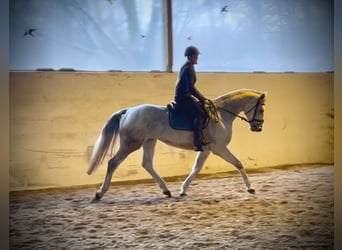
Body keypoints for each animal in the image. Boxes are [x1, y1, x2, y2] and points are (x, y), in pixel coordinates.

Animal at [87, 89, 266, 200]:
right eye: (261, 110)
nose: (257, 128)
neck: (221, 115)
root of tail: (129, 111)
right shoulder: (219, 148)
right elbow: (238, 163)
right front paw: (250, 188)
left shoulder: (207, 149)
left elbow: (196, 169)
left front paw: (183, 190)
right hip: (131, 144)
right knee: (113, 162)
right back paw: (100, 193)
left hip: (149, 141)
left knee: (147, 164)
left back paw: (166, 190)